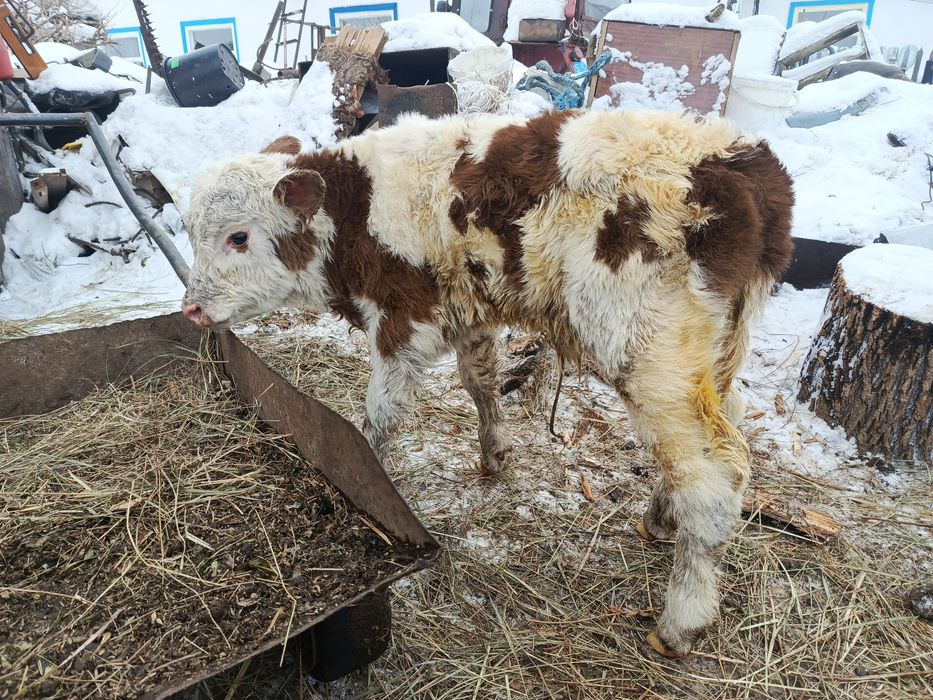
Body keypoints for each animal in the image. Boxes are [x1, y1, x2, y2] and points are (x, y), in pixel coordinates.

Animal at [181, 109, 794, 657]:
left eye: (239, 237)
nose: (191, 308)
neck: (357, 212)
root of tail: (738, 162)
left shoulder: (403, 324)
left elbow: (377, 420)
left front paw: (358, 477)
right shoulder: (468, 314)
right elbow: (479, 381)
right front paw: (493, 453)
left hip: (650, 355)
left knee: (714, 474)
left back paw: (681, 623)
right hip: (713, 352)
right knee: (727, 419)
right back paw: (661, 518)